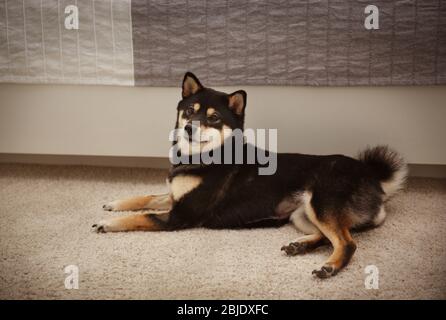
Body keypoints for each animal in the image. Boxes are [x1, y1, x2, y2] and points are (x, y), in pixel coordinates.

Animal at [93, 72, 408, 278]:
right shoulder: (174, 197)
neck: (205, 157)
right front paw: (114, 203)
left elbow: (142, 216)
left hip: (321, 203)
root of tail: (372, 177)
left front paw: (108, 223)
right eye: (189, 111)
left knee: (347, 242)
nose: (189, 128)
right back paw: (300, 246)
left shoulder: (181, 215)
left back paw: (329, 265)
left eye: (213, 118)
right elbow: (145, 196)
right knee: (328, 236)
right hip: (302, 214)